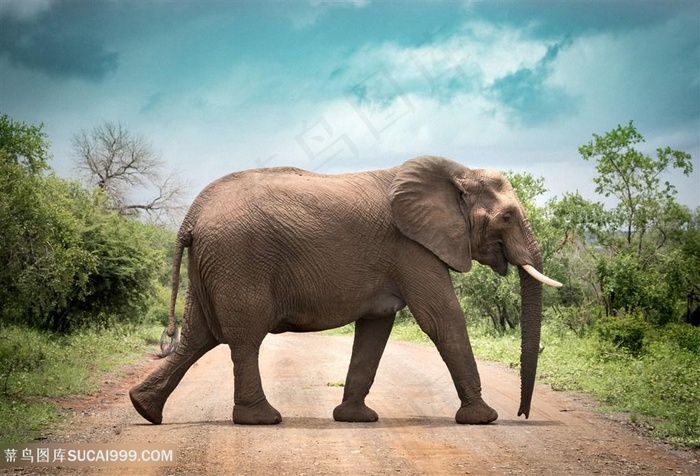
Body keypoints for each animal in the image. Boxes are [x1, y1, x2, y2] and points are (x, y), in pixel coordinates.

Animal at [129, 154, 560, 426]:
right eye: (507, 217)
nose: (522, 414)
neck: (458, 173)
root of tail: (192, 215)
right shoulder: (412, 248)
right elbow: (443, 318)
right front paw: (483, 418)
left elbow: (376, 328)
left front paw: (356, 419)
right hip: (237, 260)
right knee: (243, 339)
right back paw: (262, 419)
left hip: (211, 264)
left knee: (197, 337)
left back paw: (144, 410)